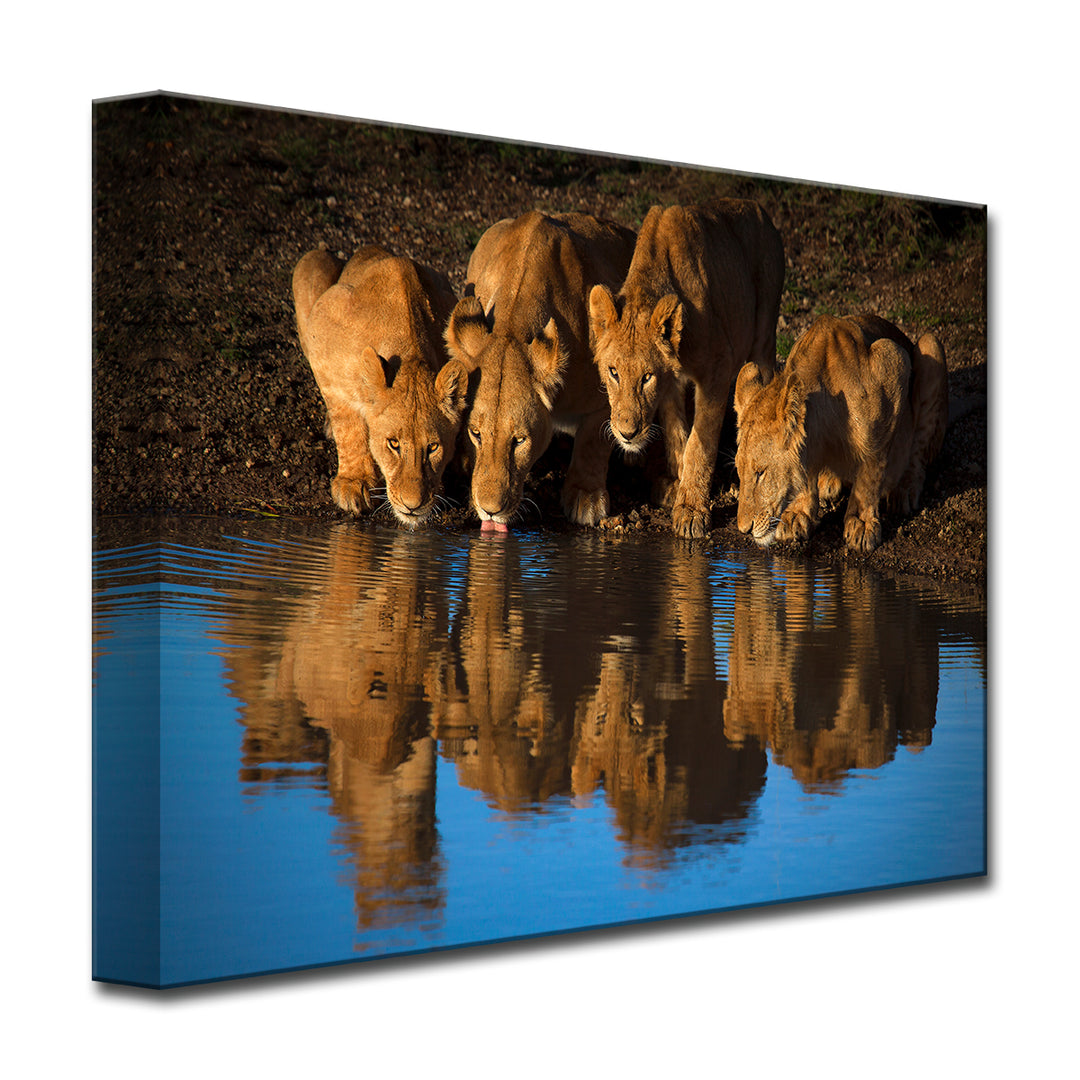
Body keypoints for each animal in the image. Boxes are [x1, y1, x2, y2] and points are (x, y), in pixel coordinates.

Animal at [292, 245, 468, 527]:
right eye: (393, 444)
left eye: (433, 447)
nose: (412, 506)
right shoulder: (322, 339)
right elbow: (348, 424)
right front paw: (354, 483)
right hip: (310, 263)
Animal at [443, 211, 636, 530]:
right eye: (476, 433)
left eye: (519, 441)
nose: (490, 510)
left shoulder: (604, 395)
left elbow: (592, 442)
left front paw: (586, 498)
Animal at [588, 201, 785, 538]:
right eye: (613, 372)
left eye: (646, 377)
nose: (627, 434)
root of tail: (759, 209)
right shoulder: (672, 382)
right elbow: (677, 432)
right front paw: (678, 486)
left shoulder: (717, 369)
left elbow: (699, 442)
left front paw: (692, 510)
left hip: (764, 333)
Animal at [732, 312, 948, 553]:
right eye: (739, 471)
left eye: (760, 472)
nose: (744, 529)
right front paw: (798, 512)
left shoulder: (892, 360)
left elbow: (872, 466)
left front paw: (862, 522)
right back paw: (828, 483)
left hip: (931, 347)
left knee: (919, 449)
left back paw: (905, 488)